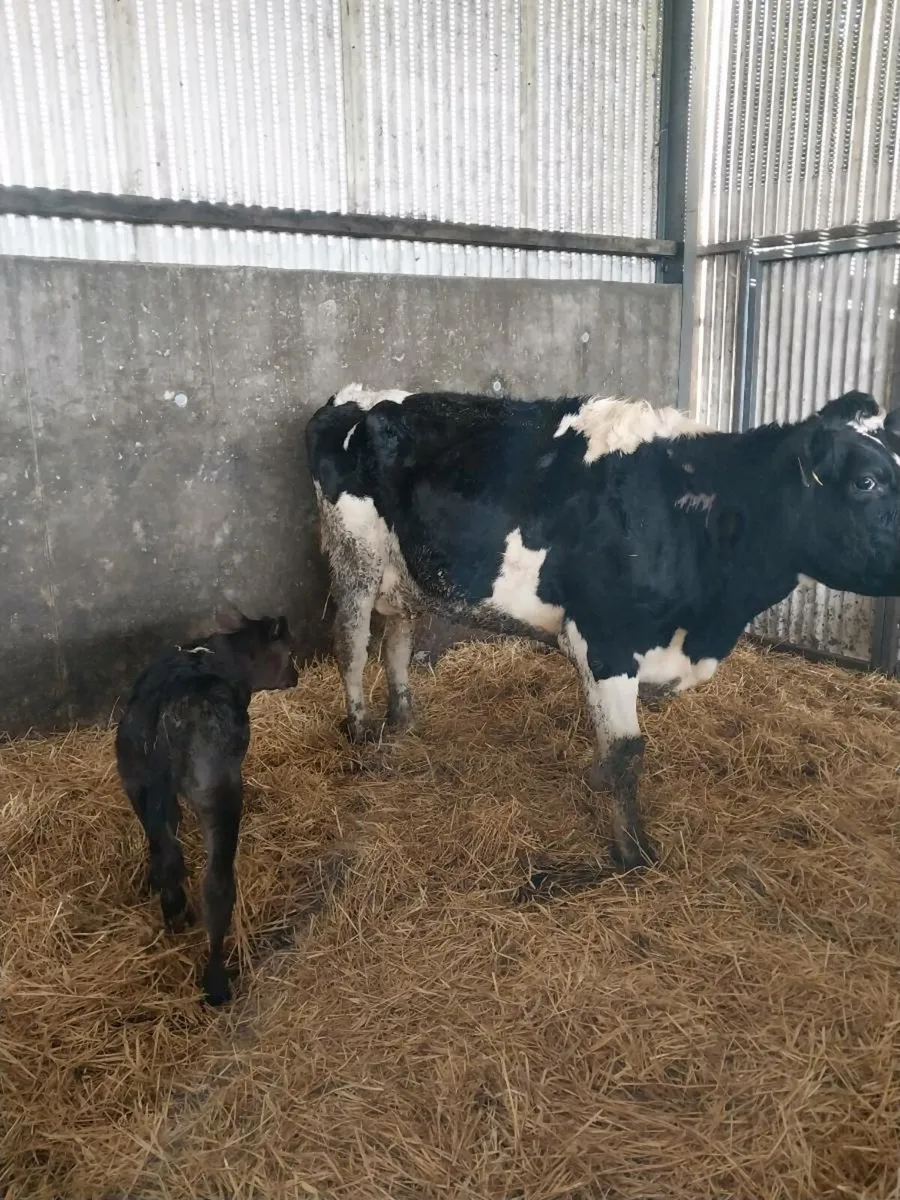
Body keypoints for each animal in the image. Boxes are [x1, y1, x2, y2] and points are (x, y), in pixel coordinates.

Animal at [115, 606, 298, 1005]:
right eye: (288, 652)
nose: (295, 676)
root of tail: (165, 711)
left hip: (136, 779)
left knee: (164, 851)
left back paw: (173, 911)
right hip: (218, 794)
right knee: (216, 885)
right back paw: (216, 983)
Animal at [305, 383, 900, 871]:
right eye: (866, 481)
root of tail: (355, 395)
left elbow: (610, 746)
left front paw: (598, 791)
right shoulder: (606, 640)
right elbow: (627, 752)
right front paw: (632, 851)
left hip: (402, 570)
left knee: (398, 639)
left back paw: (403, 719)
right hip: (353, 559)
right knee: (351, 645)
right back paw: (361, 733)